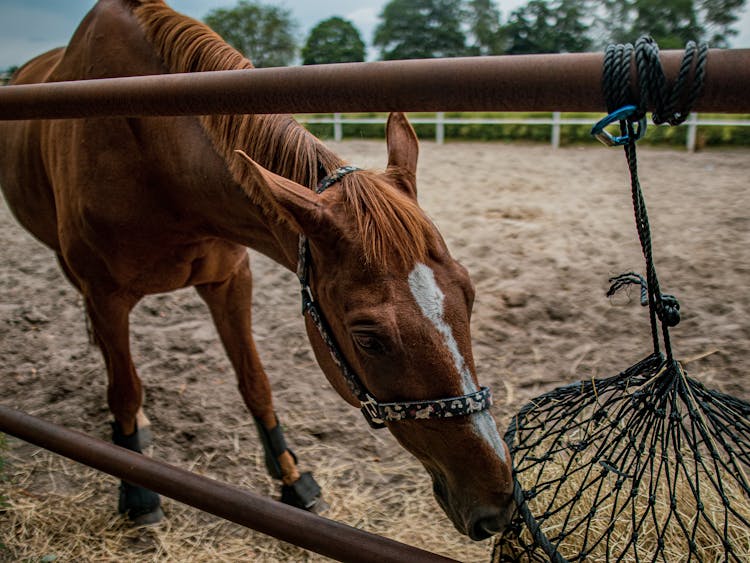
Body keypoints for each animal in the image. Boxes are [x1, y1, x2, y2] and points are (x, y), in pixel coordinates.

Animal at [0, 0, 512, 540]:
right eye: (369, 338)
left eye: (469, 294)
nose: (498, 500)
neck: (152, 156)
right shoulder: (105, 294)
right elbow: (124, 389)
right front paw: (137, 490)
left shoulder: (230, 282)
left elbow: (256, 384)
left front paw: (292, 480)